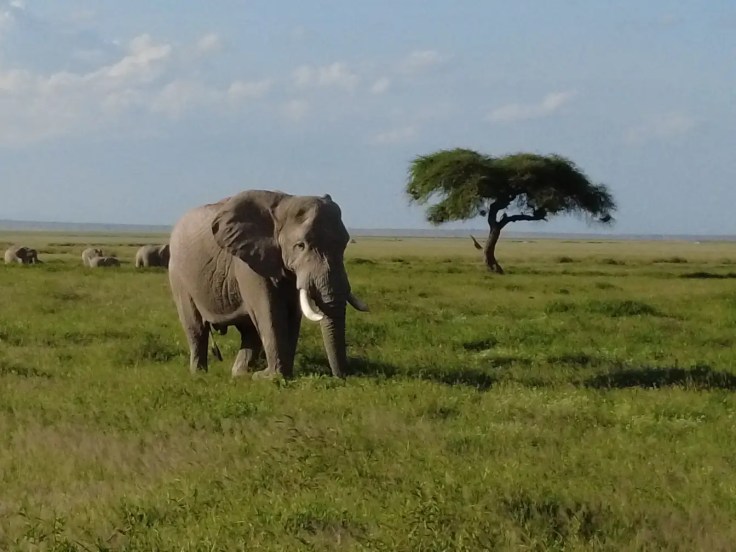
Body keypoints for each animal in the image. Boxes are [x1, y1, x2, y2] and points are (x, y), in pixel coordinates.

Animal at [168, 189, 369, 380]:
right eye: (300, 246)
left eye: (344, 245)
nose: (342, 377)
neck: (285, 204)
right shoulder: (248, 264)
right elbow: (270, 312)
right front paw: (272, 378)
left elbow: (292, 314)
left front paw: (281, 376)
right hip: (178, 275)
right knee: (196, 328)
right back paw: (200, 374)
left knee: (249, 330)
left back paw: (241, 374)